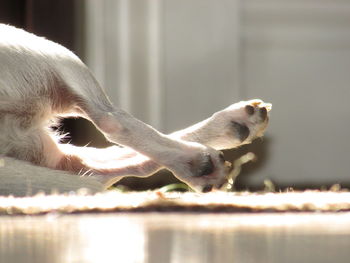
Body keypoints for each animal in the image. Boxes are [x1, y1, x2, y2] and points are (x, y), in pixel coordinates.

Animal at [0, 23, 270, 197]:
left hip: (43, 146)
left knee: (101, 162)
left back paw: (229, 130)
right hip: (53, 56)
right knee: (111, 120)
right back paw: (197, 160)